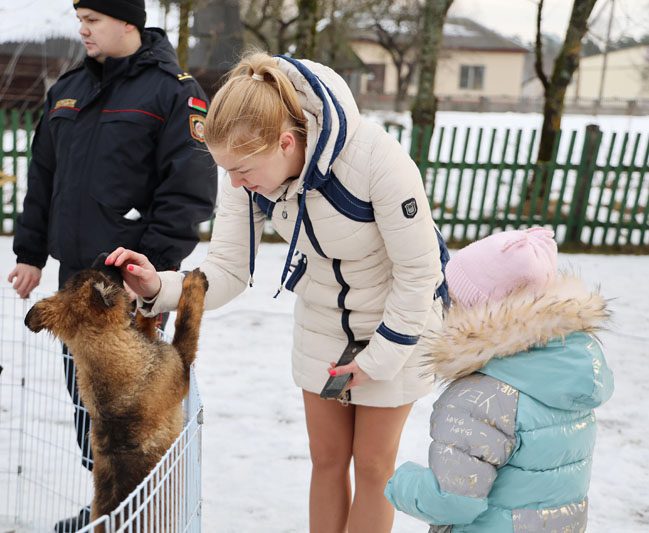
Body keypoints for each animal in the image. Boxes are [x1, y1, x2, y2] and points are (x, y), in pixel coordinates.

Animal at [24, 258, 208, 528]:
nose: (106, 254)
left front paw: (148, 301)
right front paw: (193, 282)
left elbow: (144, 323)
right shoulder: (181, 367)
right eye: (103, 273)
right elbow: (187, 322)